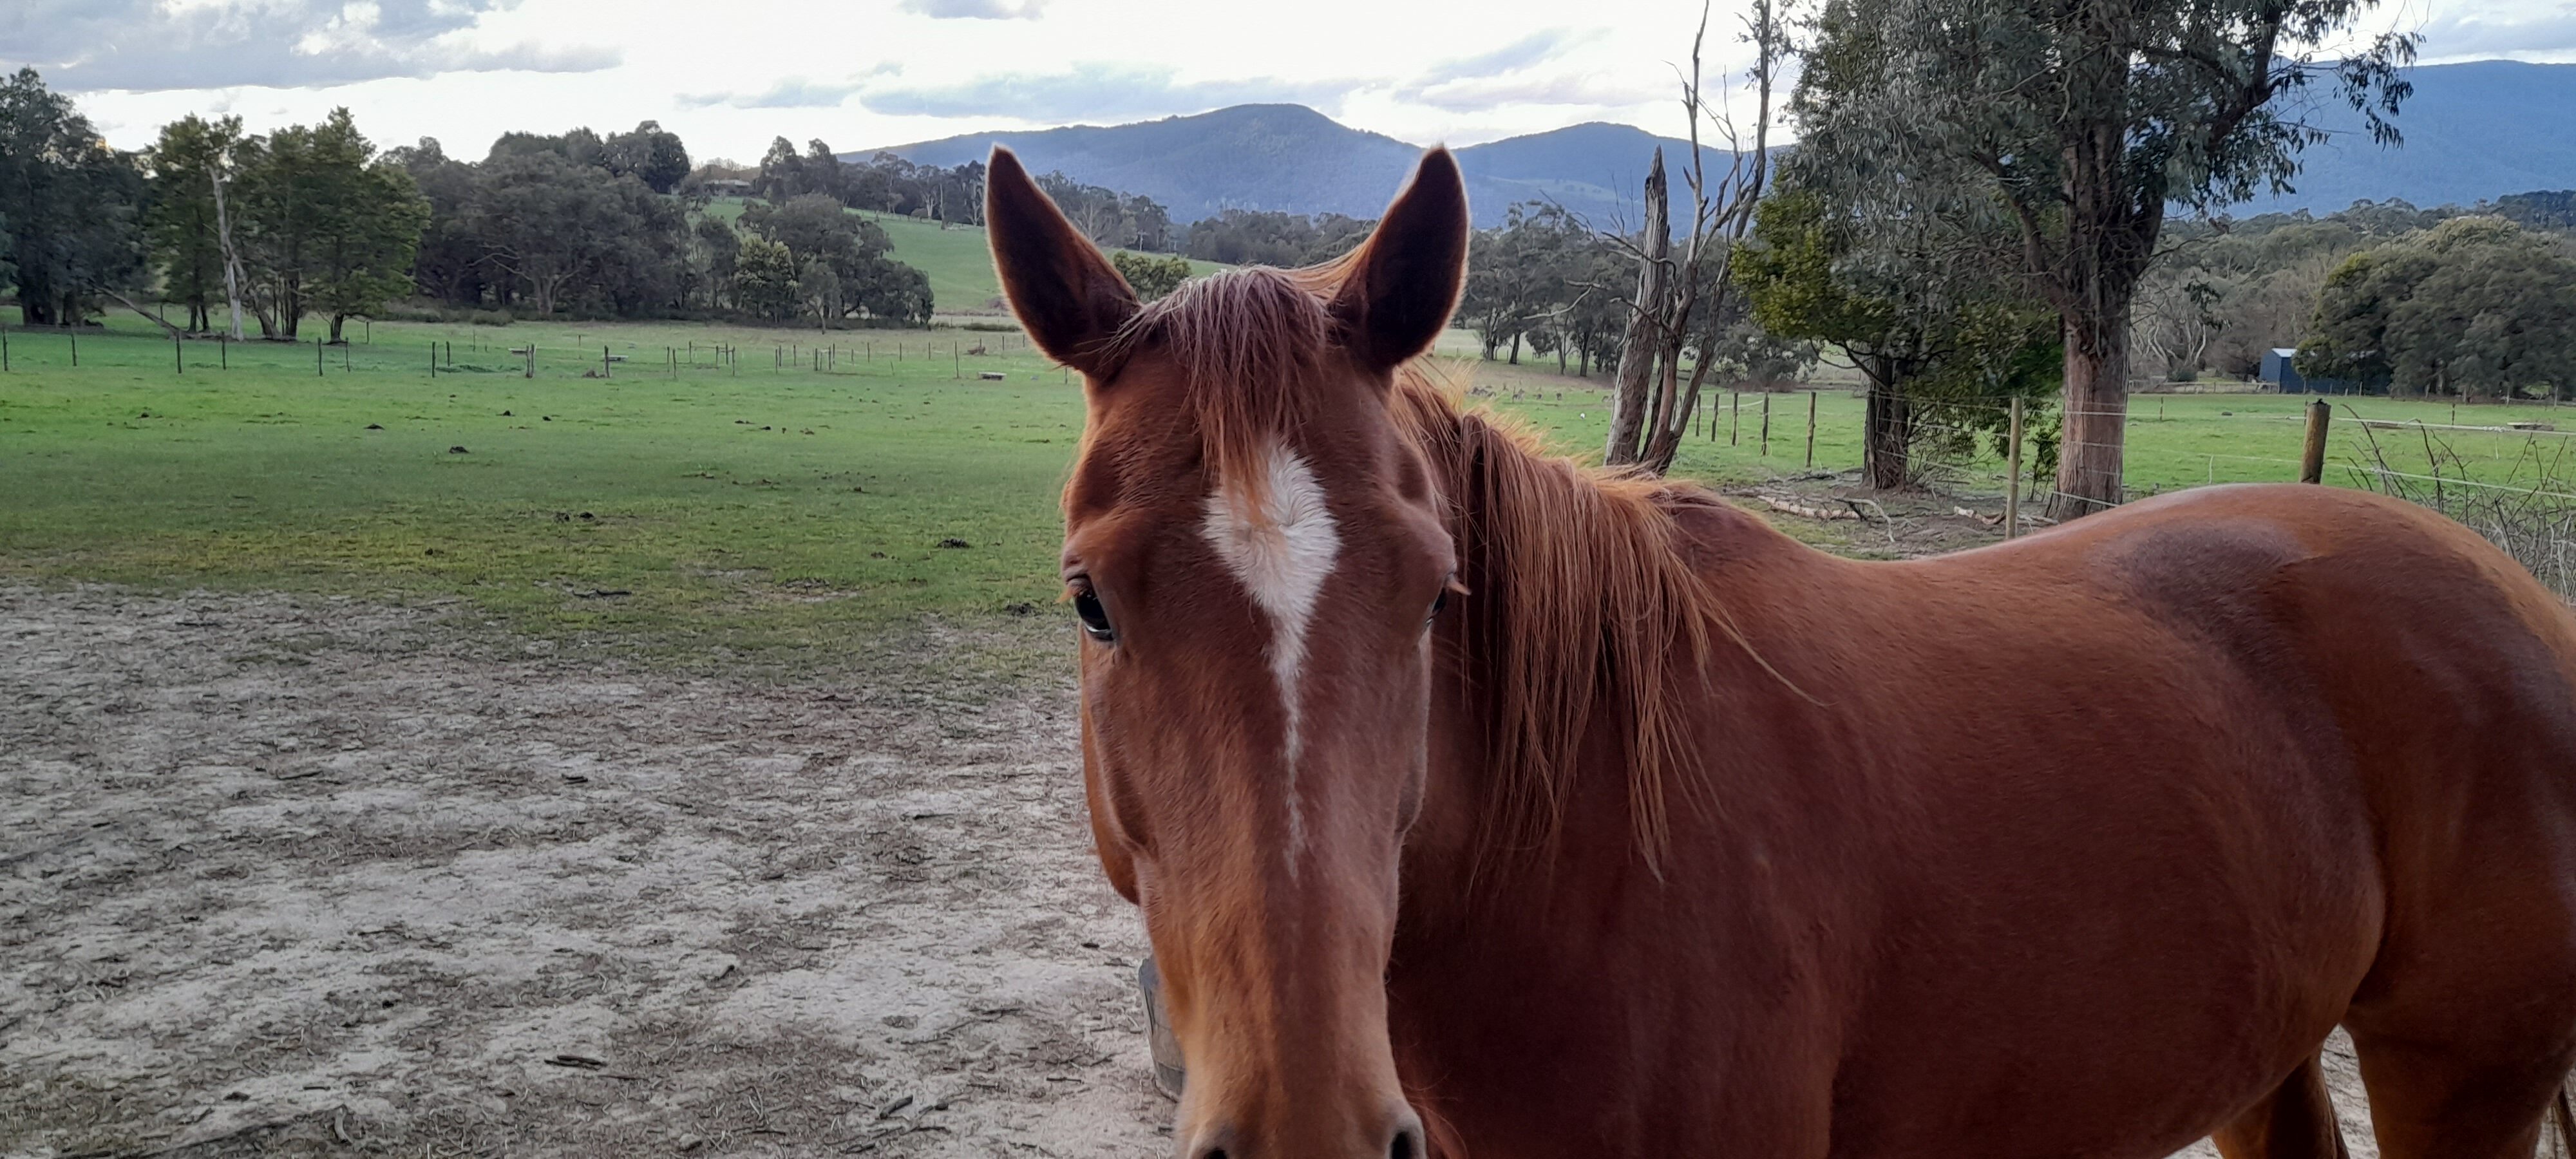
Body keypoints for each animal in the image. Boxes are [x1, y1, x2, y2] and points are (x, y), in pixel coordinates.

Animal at [983, 143, 2576, 1159]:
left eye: (1434, 595)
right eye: (1090, 601)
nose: (1304, 1131)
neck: (1578, 856)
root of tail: (2514, 595)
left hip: (2459, 1080)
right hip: (2262, 1046)